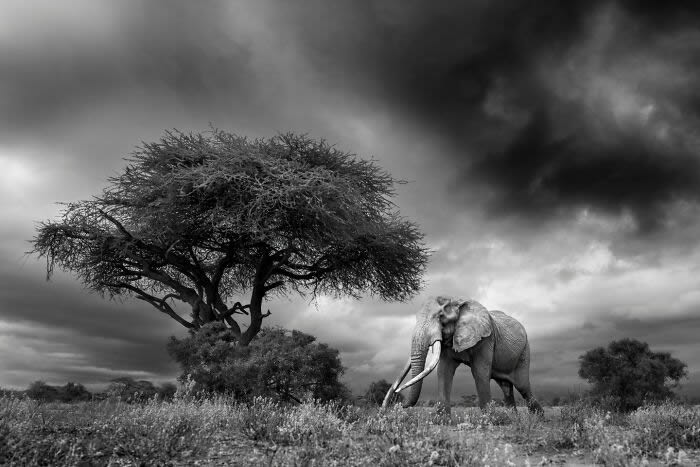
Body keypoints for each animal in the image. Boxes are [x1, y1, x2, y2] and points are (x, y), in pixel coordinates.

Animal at [382, 298, 540, 414]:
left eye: (441, 318)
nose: (396, 404)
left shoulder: (486, 339)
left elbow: (480, 373)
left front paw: (490, 420)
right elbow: (444, 371)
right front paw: (442, 421)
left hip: (524, 351)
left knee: (523, 386)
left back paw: (537, 419)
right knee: (506, 388)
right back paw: (515, 420)